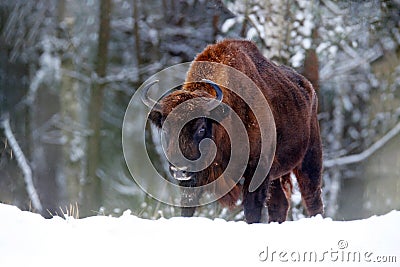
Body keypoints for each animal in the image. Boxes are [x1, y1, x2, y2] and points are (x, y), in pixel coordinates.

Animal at [142, 39, 324, 224]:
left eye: (201, 128)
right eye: (165, 129)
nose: (180, 170)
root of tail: (309, 89)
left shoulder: (256, 171)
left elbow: (252, 210)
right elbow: (188, 207)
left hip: (310, 160)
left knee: (312, 198)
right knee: (280, 203)